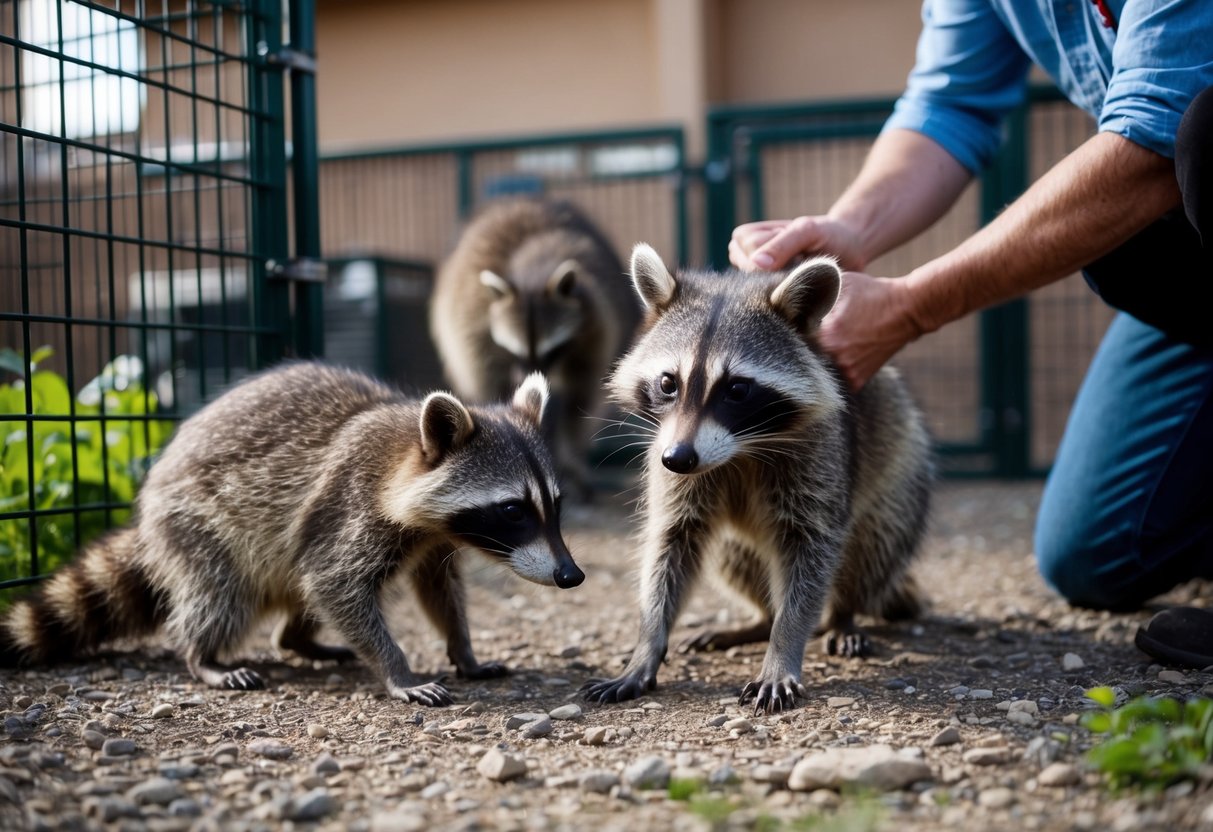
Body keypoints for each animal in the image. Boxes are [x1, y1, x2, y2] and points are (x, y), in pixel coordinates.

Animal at [0, 363, 583, 706]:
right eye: (512, 510)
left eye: (555, 506)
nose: (571, 575)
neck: (405, 456)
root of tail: (147, 517)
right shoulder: (351, 505)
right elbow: (335, 582)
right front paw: (398, 669)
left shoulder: (433, 539)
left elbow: (438, 590)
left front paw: (462, 649)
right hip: (196, 524)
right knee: (223, 594)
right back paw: (202, 657)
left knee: (298, 582)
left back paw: (298, 638)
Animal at [430, 198, 640, 494]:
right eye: (514, 350)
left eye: (551, 350)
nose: (527, 380)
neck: (533, 271)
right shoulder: (474, 322)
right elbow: (491, 384)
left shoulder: (596, 327)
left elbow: (580, 399)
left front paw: (572, 456)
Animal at [583, 245, 932, 714]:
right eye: (668, 383)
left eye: (736, 389)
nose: (678, 459)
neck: (741, 449)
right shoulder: (671, 460)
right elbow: (671, 544)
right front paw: (646, 646)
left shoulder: (821, 455)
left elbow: (811, 549)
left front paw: (783, 646)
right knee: (732, 555)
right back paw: (759, 620)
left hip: (900, 478)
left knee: (873, 544)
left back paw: (842, 614)